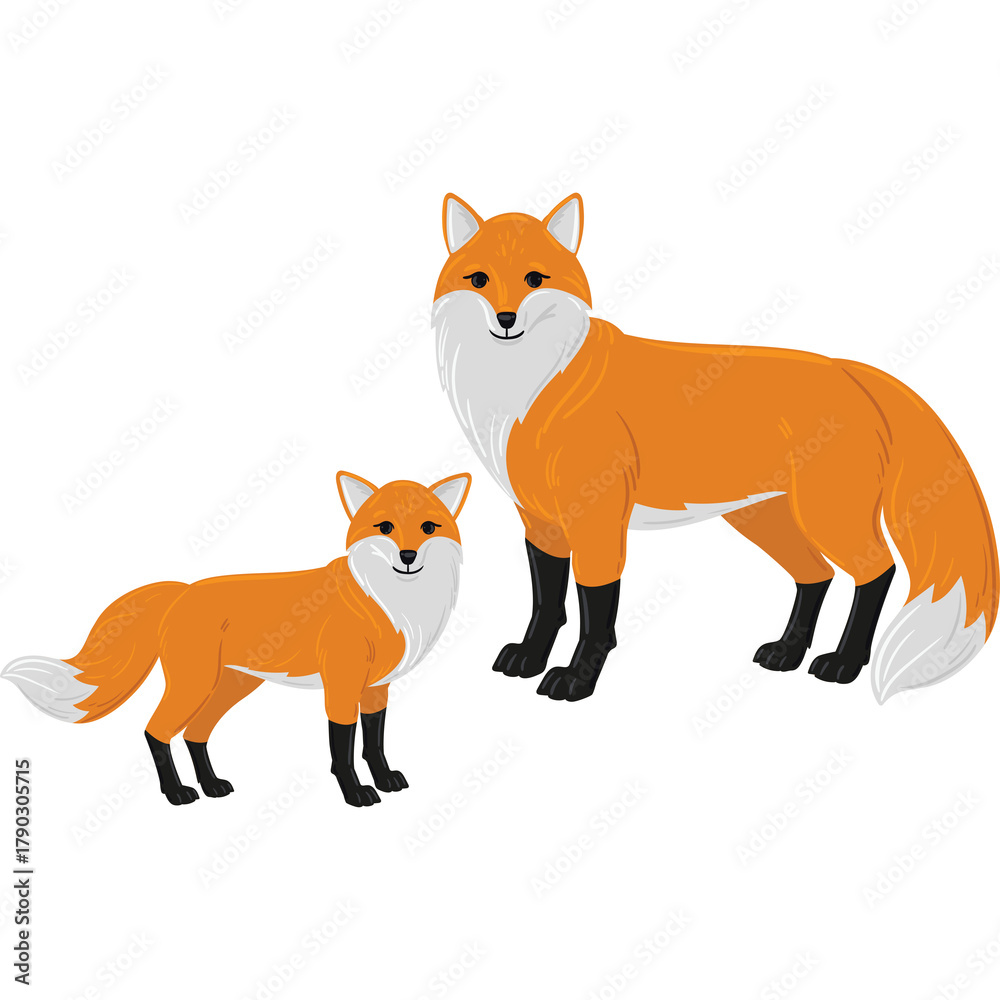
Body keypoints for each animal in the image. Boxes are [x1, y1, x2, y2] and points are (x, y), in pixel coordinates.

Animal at [2, 472, 471, 807]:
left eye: (428, 527)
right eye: (385, 527)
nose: (407, 556)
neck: (387, 602)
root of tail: (182, 590)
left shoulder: (375, 687)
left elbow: (374, 741)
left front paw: (386, 779)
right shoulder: (341, 682)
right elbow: (343, 746)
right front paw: (355, 793)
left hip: (230, 685)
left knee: (194, 734)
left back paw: (211, 785)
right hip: (196, 683)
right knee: (156, 731)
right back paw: (176, 794)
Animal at [433, 192, 997, 704]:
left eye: (535, 279)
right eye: (479, 280)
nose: (507, 318)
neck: (527, 391)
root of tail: (848, 369)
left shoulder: (596, 518)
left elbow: (596, 612)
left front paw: (577, 679)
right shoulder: (542, 522)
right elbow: (546, 603)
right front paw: (530, 657)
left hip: (828, 514)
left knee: (877, 573)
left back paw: (844, 662)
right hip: (765, 519)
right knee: (816, 575)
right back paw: (789, 652)